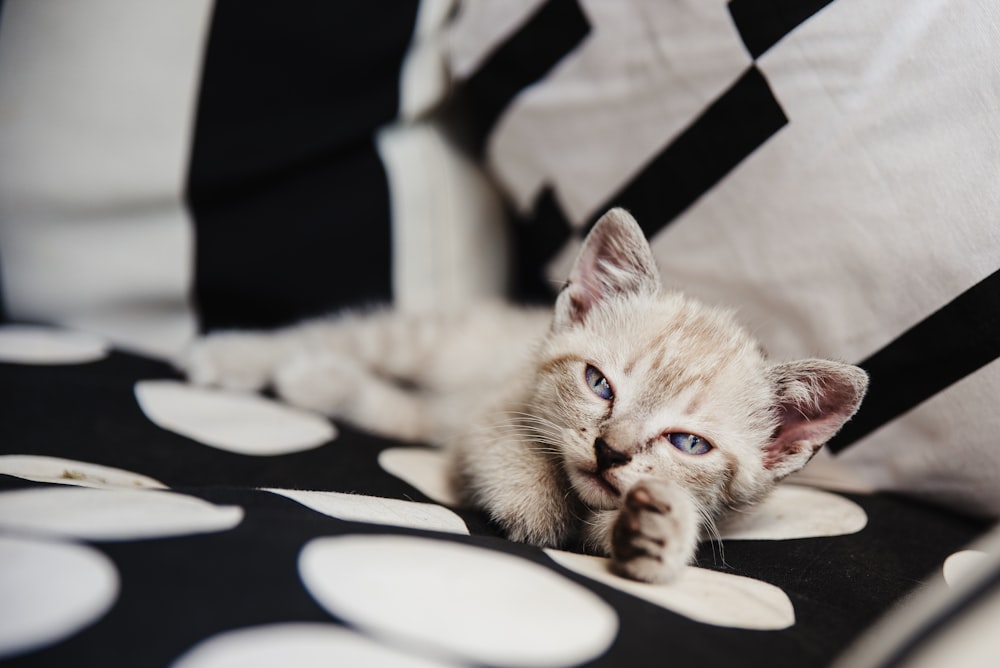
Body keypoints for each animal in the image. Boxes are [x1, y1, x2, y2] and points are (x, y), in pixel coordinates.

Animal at [186, 210, 868, 584]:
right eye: (599, 383)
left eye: (688, 443)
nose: (610, 451)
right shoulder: (492, 417)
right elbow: (521, 466)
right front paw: (540, 514)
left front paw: (655, 536)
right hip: (424, 342)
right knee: (336, 336)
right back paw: (237, 357)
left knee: (397, 407)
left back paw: (316, 379)